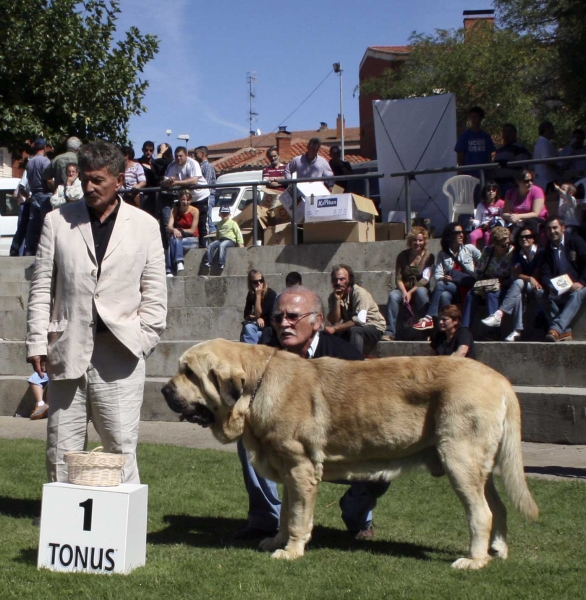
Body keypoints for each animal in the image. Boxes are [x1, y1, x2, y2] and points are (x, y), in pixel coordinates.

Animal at [162, 340, 536, 568]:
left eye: (190, 373)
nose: (165, 390)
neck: (258, 386)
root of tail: (502, 381)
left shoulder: (301, 469)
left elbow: (297, 517)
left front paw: (292, 550)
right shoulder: (289, 472)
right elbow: (286, 513)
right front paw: (277, 541)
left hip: (460, 460)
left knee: (481, 513)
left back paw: (474, 560)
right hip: (480, 467)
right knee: (498, 507)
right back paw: (498, 550)